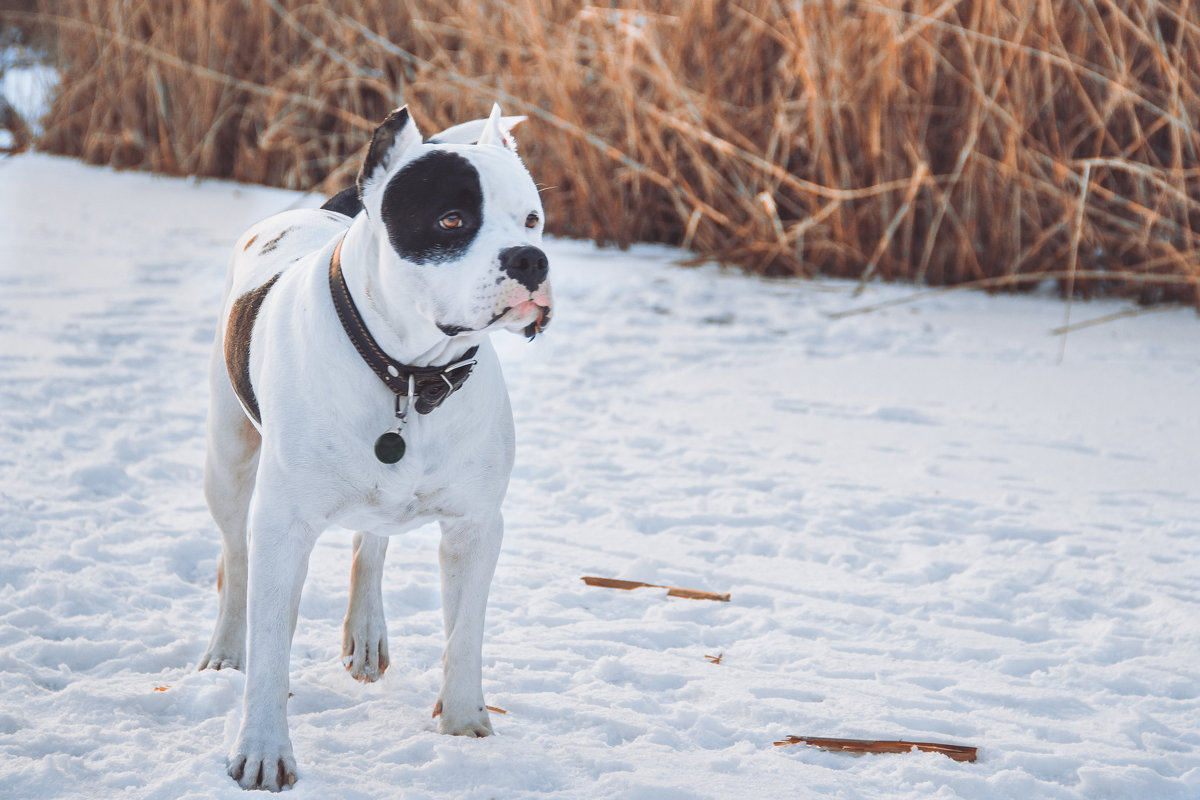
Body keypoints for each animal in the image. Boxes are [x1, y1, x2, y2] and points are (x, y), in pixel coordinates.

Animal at [198, 103, 552, 791]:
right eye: (451, 219)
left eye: (532, 219)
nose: (531, 259)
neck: (407, 376)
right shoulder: (282, 524)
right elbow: (270, 646)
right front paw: (262, 750)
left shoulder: (475, 527)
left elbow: (464, 634)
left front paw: (464, 724)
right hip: (228, 462)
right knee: (237, 560)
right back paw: (225, 649)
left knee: (372, 543)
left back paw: (365, 634)